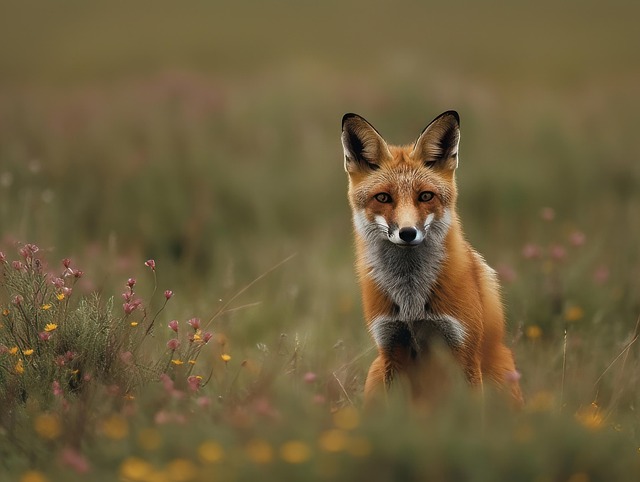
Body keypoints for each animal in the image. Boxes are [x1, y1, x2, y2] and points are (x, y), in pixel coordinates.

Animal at [341, 110, 523, 407]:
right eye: (383, 197)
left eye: (426, 196)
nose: (407, 232)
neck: (411, 301)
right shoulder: (391, 346)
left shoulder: (464, 348)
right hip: (376, 371)